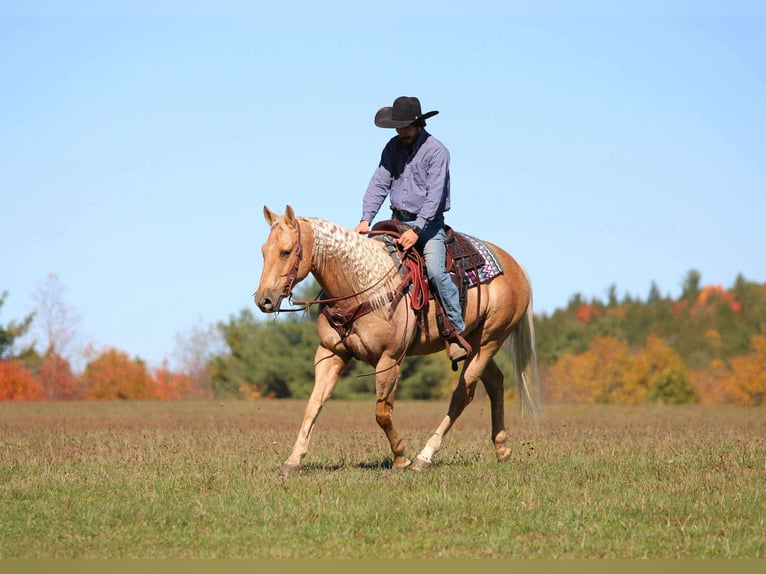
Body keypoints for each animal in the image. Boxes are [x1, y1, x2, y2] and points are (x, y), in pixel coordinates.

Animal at [254, 205, 541, 476]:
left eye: (286, 252)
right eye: (264, 250)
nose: (263, 300)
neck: (362, 286)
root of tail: (515, 266)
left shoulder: (389, 360)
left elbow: (382, 412)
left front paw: (401, 457)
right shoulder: (330, 353)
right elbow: (314, 405)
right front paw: (293, 461)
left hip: (489, 341)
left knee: (463, 394)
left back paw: (425, 456)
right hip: (473, 343)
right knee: (495, 382)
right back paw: (502, 449)